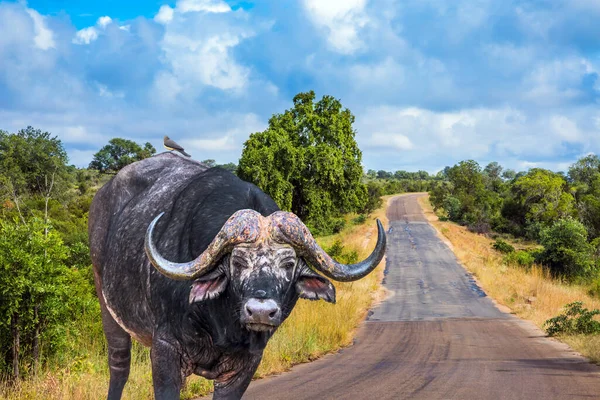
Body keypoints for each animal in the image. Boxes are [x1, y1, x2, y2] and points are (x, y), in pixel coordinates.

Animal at [88, 153, 384, 400]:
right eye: (238, 262)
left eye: (289, 264)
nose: (261, 312)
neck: (220, 324)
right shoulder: (165, 351)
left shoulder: (246, 364)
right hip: (106, 304)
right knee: (119, 366)